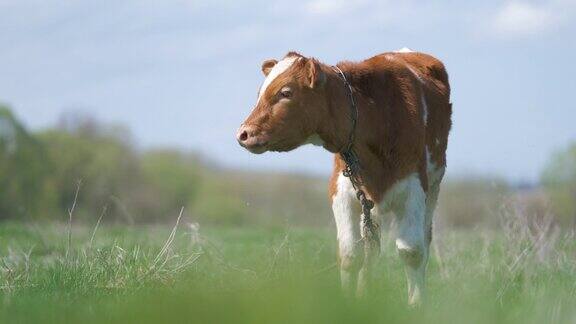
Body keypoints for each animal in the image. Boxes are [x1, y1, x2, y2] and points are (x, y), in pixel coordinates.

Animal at [236, 49, 452, 306]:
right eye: (260, 92)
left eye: (285, 92)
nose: (243, 134)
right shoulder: (342, 192)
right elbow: (350, 255)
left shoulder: (414, 189)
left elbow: (412, 251)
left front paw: (416, 305)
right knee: (370, 246)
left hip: (434, 187)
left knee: (424, 240)